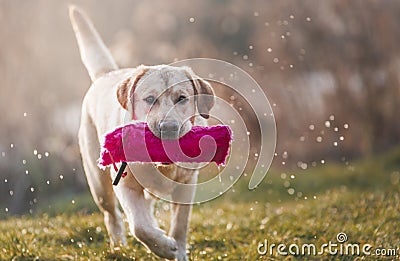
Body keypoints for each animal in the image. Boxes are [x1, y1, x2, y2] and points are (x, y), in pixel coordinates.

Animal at [69, 6, 214, 260]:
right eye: (149, 99)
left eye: (182, 98)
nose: (168, 128)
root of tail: (106, 74)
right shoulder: (125, 185)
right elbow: (139, 226)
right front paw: (165, 247)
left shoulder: (187, 185)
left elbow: (180, 225)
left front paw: (177, 251)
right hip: (99, 184)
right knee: (113, 216)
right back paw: (118, 245)